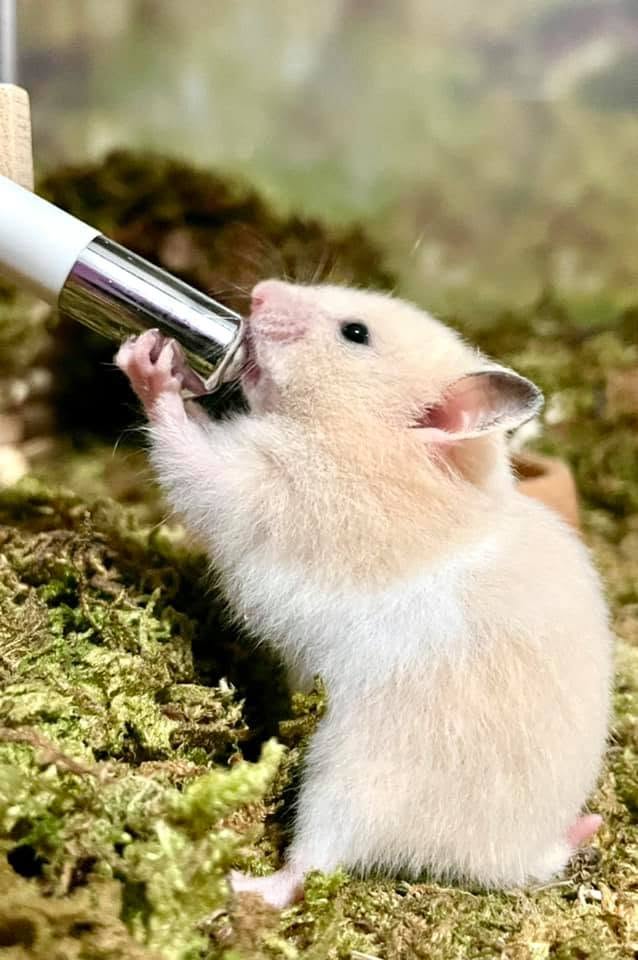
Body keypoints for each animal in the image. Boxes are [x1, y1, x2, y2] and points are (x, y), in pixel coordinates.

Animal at [115, 279, 612, 909]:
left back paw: (239, 885)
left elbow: (189, 452)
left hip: (348, 780)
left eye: (355, 333)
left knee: (311, 866)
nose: (260, 292)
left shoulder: (267, 491)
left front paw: (148, 360)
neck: (370, 444)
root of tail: (515, 857)